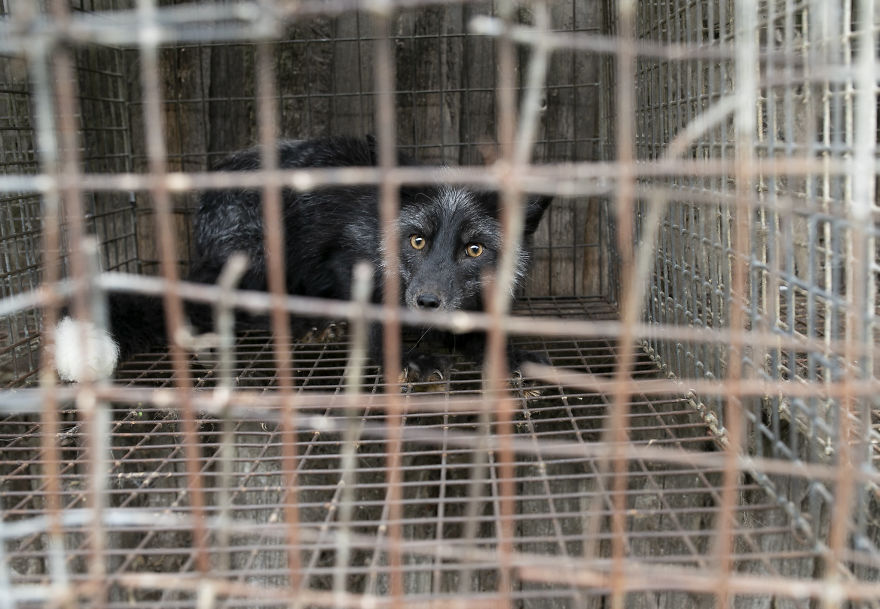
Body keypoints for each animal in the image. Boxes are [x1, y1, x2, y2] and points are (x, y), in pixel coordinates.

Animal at [53, 135, 552, 384]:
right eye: (417, 242)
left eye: (474, 250)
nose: (427, 302)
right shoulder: (346, 260)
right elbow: (374, 322)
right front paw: (405, 357)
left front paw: (505, 353)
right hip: (259, 250)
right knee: (244, 308)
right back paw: (307, 322)